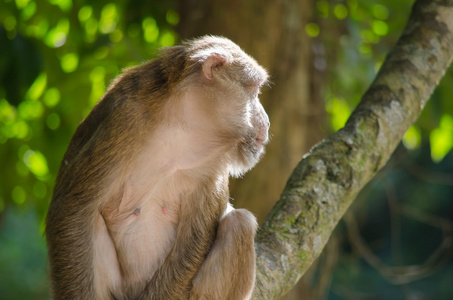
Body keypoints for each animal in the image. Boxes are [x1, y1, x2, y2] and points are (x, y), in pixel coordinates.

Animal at [46, 35, 268, 300]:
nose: (266, 120)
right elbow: (74, 210)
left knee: (239, 224)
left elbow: (193, 240)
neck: (183, 125)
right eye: (254, 90)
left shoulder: (214, 163)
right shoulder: (125, 118)